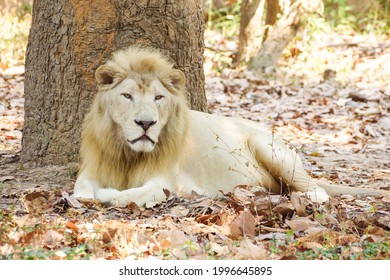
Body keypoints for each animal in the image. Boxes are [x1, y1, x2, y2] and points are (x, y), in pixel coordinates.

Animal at [74, 46, 390, 207]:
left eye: (158, 98)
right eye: (127, 96)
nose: (145, 123)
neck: (127, 154)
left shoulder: (165, 184)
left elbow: (128, 195)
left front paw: (105, 195)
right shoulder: (93, 168)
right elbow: (80, 188)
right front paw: (86, 196)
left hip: (272, 150)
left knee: (317, 189)